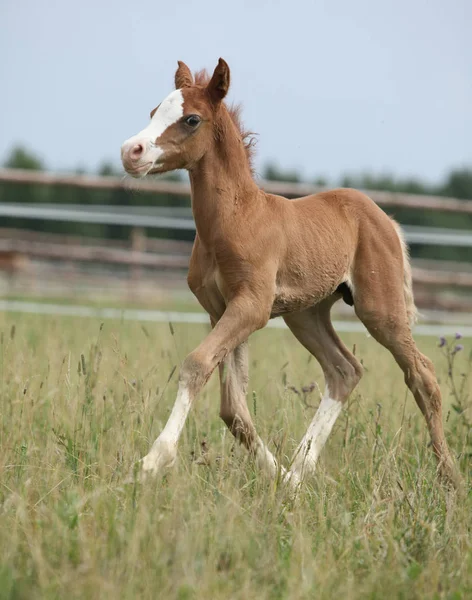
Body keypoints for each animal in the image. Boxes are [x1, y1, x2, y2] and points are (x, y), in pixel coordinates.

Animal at [120, 58, 460, 490]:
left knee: (422, 374)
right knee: (345, 370)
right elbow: (234, 408)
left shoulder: (251, 306)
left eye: (191, 119)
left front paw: (152, 461)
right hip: (307, 314)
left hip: (380, 309)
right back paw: (298, 473)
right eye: (153, 112)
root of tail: (383, 218)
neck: (236, 219)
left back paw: (450, 478)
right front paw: (280, 477)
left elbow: (197, 365)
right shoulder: (221, 310)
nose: (130, 151)